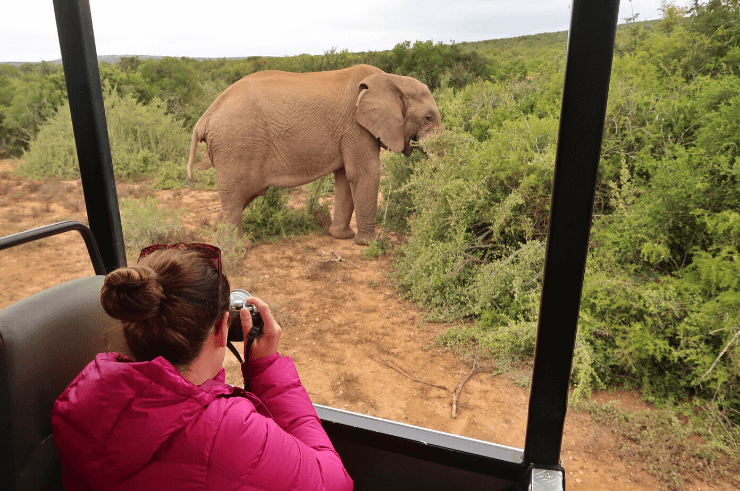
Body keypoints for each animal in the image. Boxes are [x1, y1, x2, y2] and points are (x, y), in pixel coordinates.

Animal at [186, 63, 440, 246]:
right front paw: (372, 243)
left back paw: (217, 235)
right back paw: (240, 246)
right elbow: (365, 173)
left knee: (241, 196)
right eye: (428, 118)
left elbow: (345, 177)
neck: (391, 78)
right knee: (237, 195)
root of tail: (205, 117)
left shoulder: (347, 131)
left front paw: (341, 236)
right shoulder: (356, 126)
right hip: (237, 144)